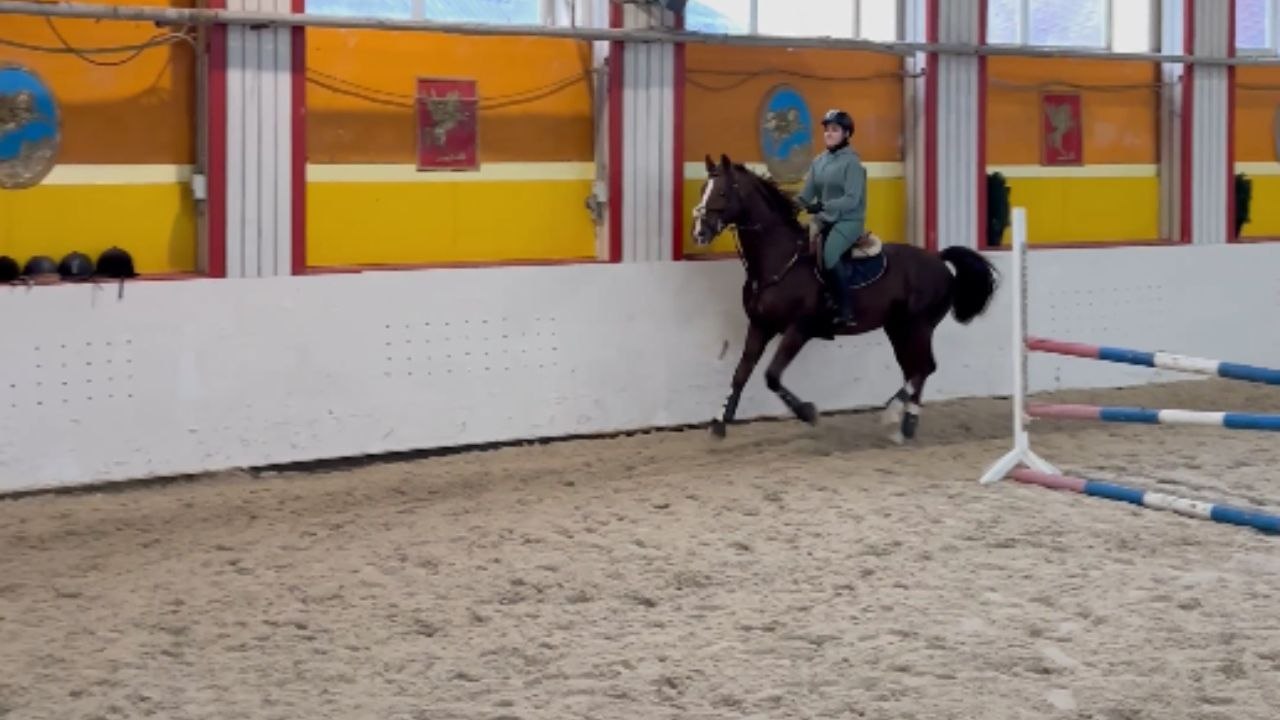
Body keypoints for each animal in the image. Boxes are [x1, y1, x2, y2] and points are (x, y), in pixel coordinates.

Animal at [692, 153, 1000, 444]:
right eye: (702, 189)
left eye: (722, 192)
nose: (699, 232)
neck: (780, 260)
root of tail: (938, 260)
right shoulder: (759, 325)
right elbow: (741, 373)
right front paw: (719, 423)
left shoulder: (798, 329)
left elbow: (771, 376)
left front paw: (807, 412)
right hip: (899, 328)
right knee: (916, 369)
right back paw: (906, 425)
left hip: (918, 326)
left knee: (924, 367)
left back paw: (894, 415)